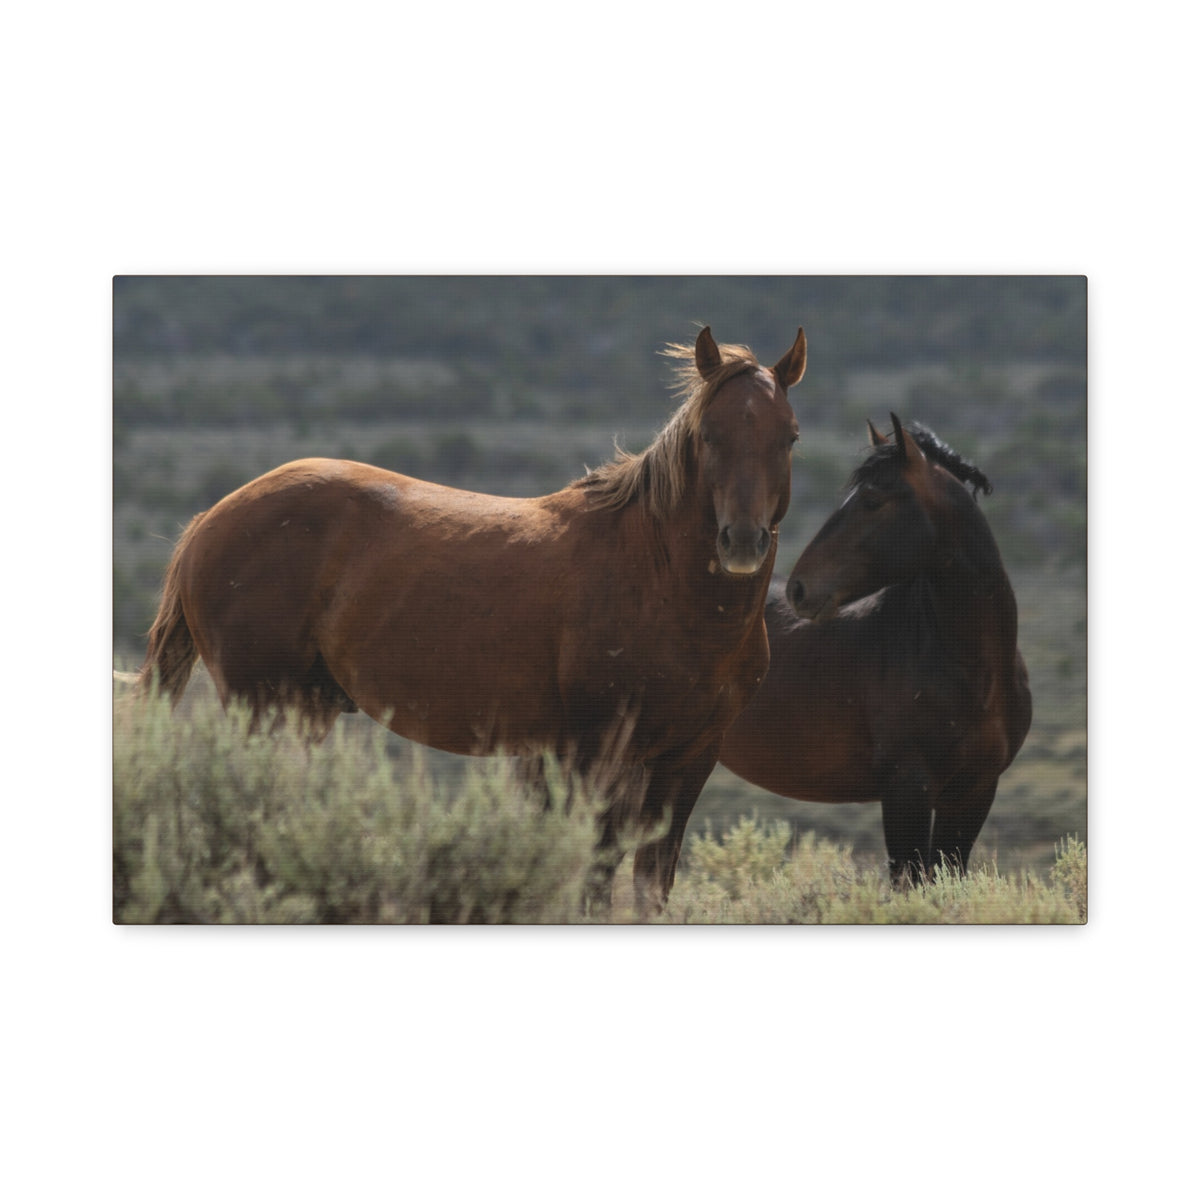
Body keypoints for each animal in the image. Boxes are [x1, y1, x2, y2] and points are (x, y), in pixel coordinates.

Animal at [130, 324, 808, 912]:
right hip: (262, 708)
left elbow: (649, 885)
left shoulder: (688, 758)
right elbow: (591, 874)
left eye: (790, 436)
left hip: (305, 710)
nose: (741, 541)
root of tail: (210, 519)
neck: (661, 580)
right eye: (708, 434)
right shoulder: (598, 751)